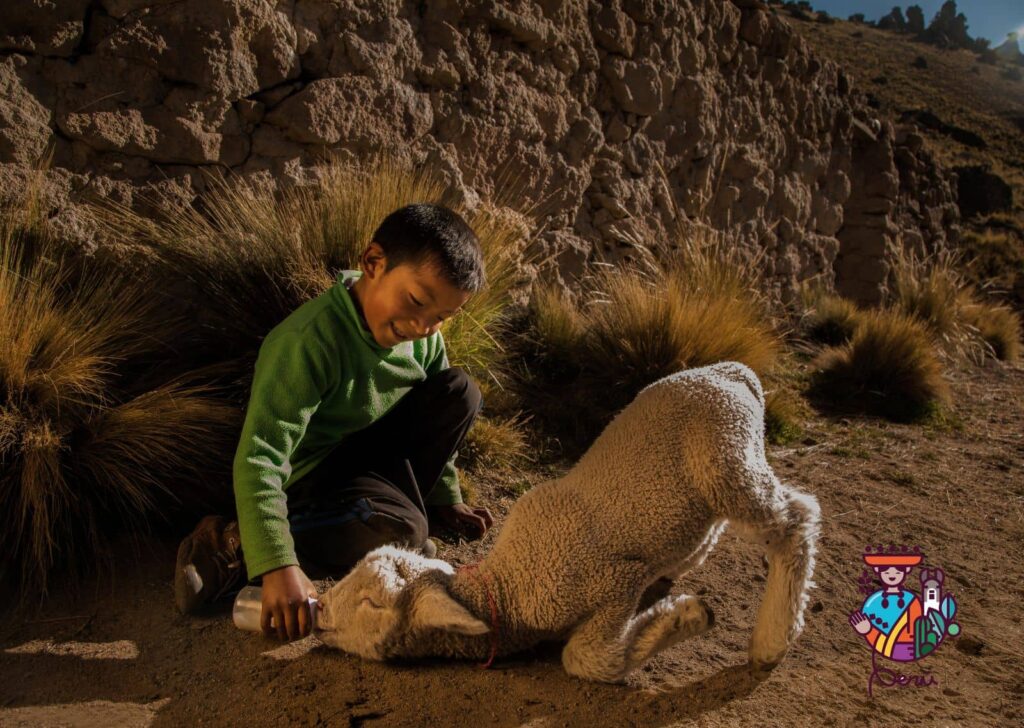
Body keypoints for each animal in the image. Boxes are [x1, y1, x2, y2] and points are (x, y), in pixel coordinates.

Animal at [315, 362, 819, 683]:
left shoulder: (616, 583)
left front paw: (687, 617)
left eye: (373, 604)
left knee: (797, 519)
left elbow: (585, 659)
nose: (318, 610)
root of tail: (735, 371)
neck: (508, 588)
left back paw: (773, 640)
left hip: (728, 456)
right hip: (715, 473)